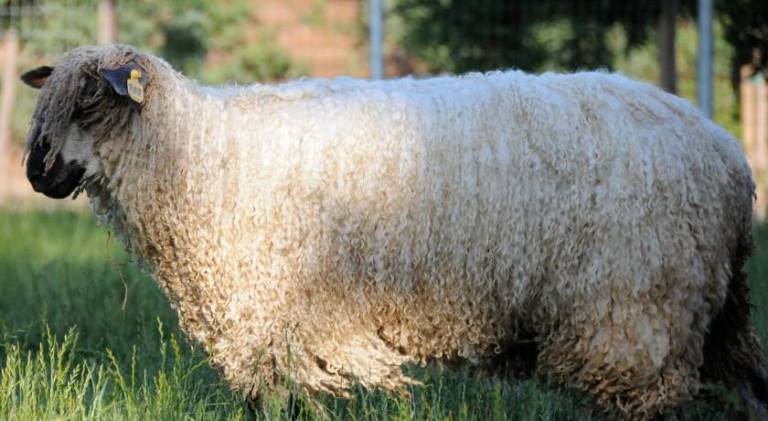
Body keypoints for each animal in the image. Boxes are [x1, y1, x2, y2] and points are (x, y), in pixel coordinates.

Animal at [20, 44, 768, 419]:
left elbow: (288, 399)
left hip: (635, 306)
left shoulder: (281, 309)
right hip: (707, 310)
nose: (36, 172)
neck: (195, 154)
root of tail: (726, 154)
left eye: (92, 101)